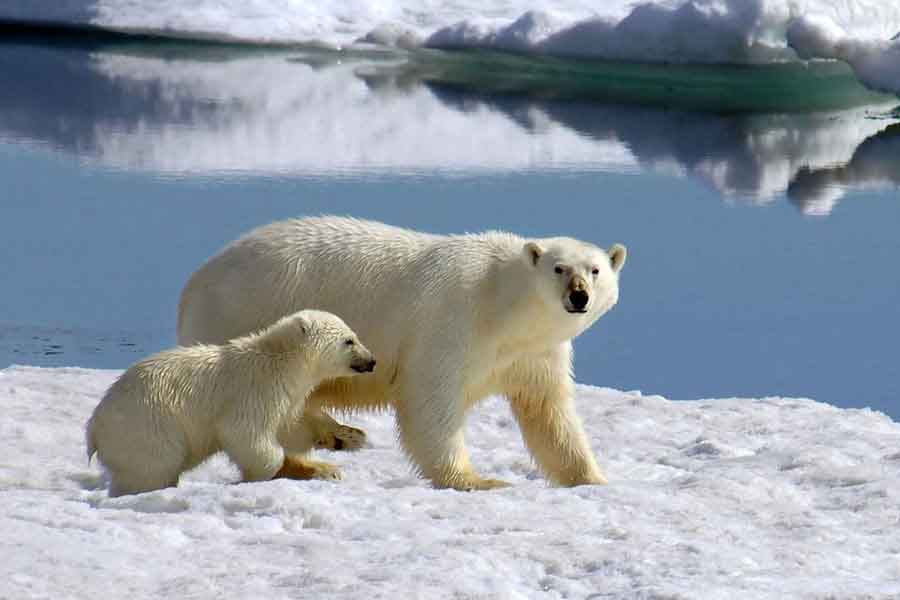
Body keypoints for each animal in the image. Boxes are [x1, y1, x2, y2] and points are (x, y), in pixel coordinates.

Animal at [176, 218, 624, 490]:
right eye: (559, 268)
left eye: (596, 269)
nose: (579, 296)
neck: (501, 304)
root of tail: (194, 283)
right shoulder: (452, 319)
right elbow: (430, 400)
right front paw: (477, 480)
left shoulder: (535, 353)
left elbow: (548, 413)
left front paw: (593, 478)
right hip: (242, 316)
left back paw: (334, 442)